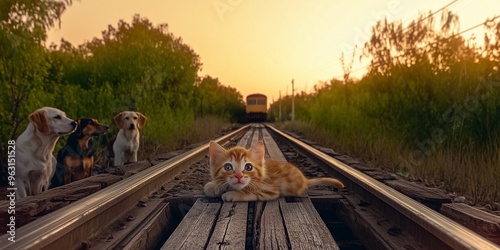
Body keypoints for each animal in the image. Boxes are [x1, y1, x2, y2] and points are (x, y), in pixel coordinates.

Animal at [203, 140, 344, 202]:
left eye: (248, 167)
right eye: (228, 167)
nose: (238, 176)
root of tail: (304, 180)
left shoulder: (270, 190)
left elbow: (249, 192)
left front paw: (233, 194)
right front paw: (213, 186)